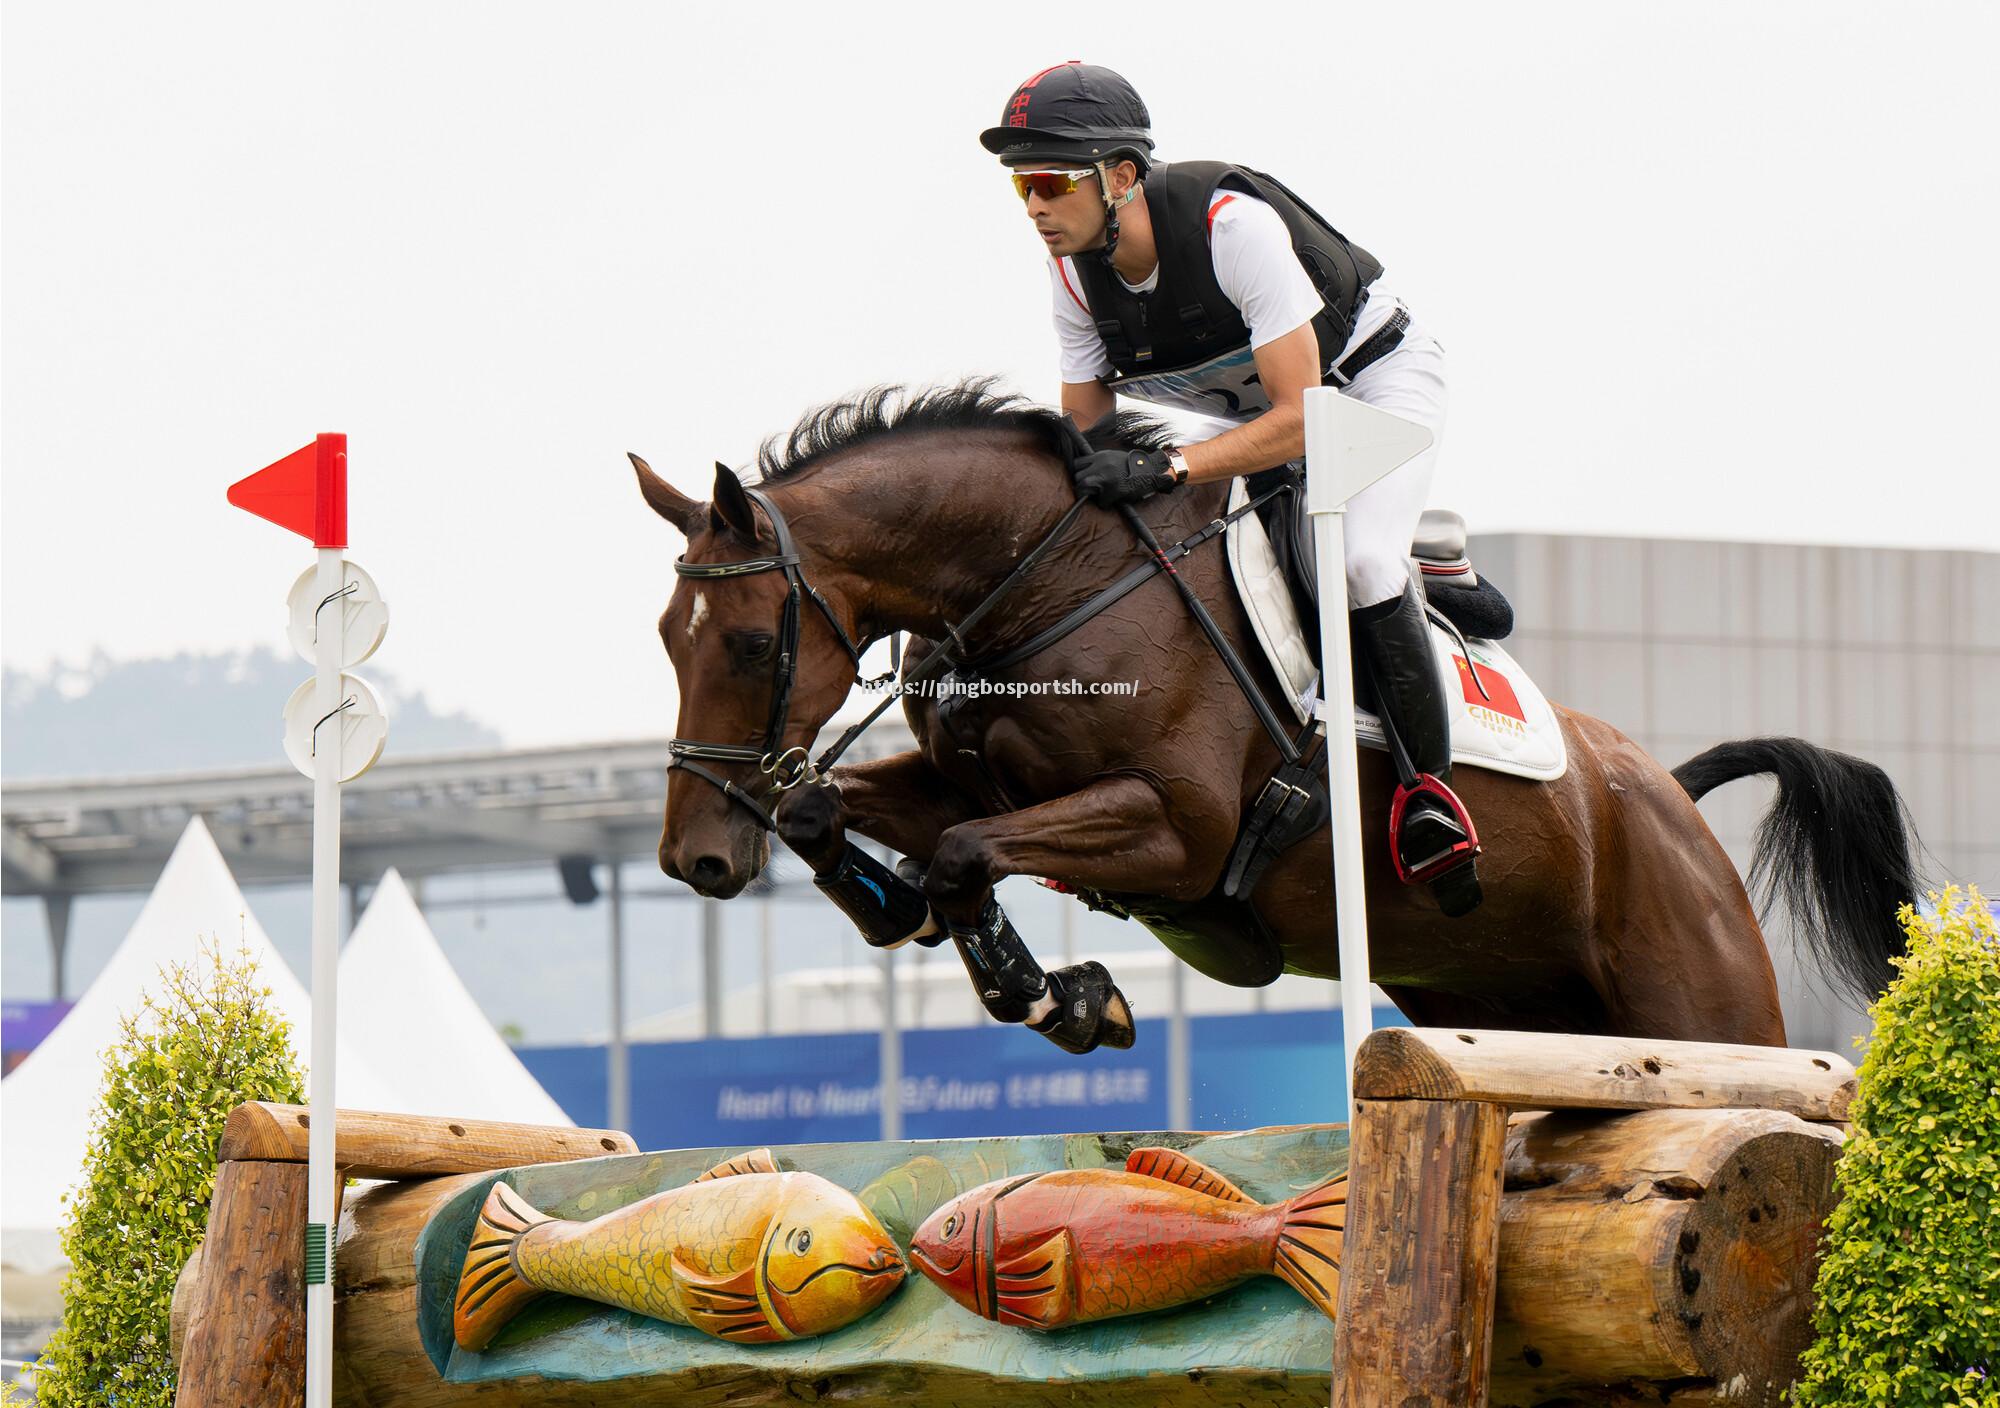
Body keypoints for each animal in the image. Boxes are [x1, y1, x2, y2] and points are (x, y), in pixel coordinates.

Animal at [628, 380, 1920, 1048]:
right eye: (665, 641)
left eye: (750, 644)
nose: (693, 859)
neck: (1049, 582)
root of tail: (1664, 796)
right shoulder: (973, 781)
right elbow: (844, 815)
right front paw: (893, 907)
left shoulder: (1177, 826)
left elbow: (959, 851)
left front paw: (1054, 998)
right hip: (1516, 1008)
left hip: (1702, 1004)